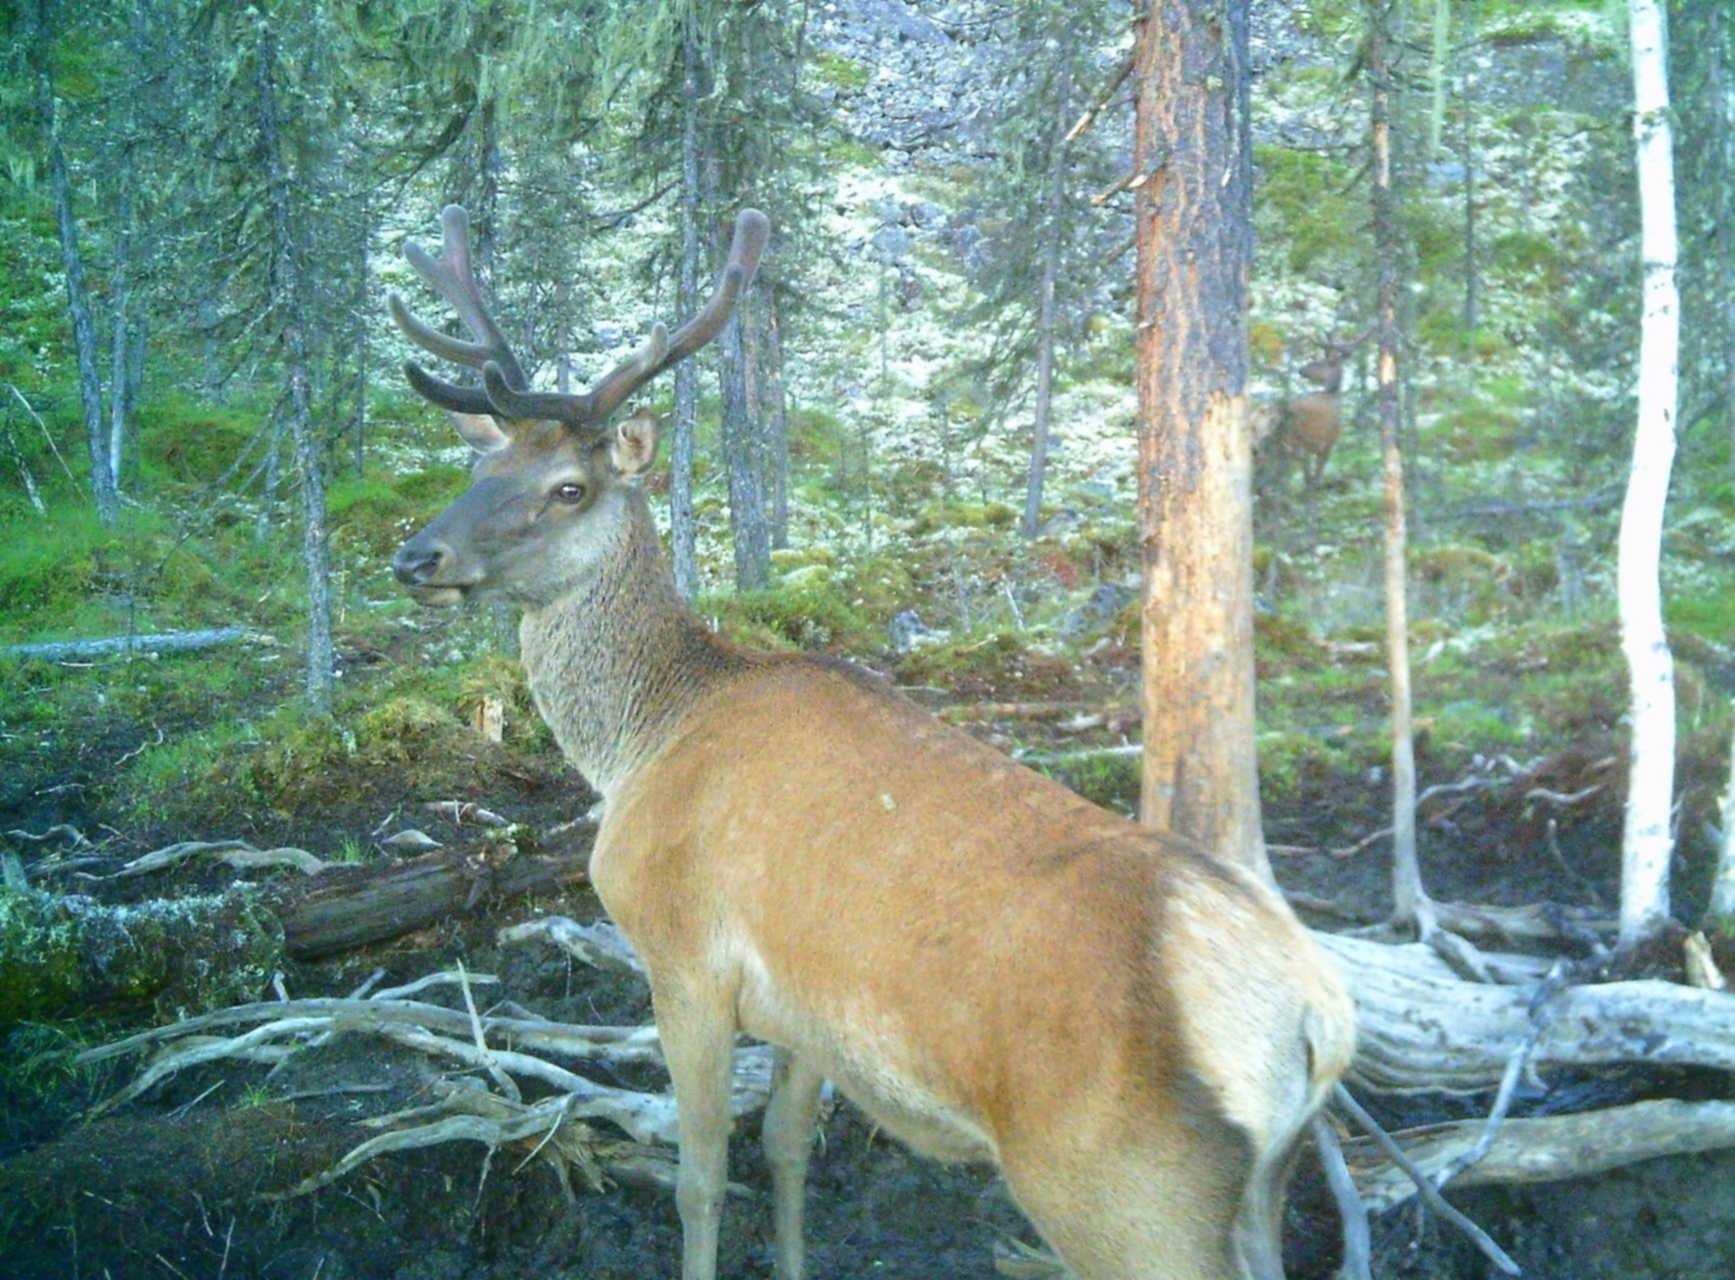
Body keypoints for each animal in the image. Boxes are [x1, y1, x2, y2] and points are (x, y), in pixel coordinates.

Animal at [383, 204, 1353, 1269]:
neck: (640, 740)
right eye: (480, 465)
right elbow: (786, 1149)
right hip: (1256, 1191)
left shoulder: (681, 958)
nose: (415, 554)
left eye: (567, 487)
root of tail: (1314, 1021)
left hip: (1126, 1196)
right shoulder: (806, 1013)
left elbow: (699, 1179)